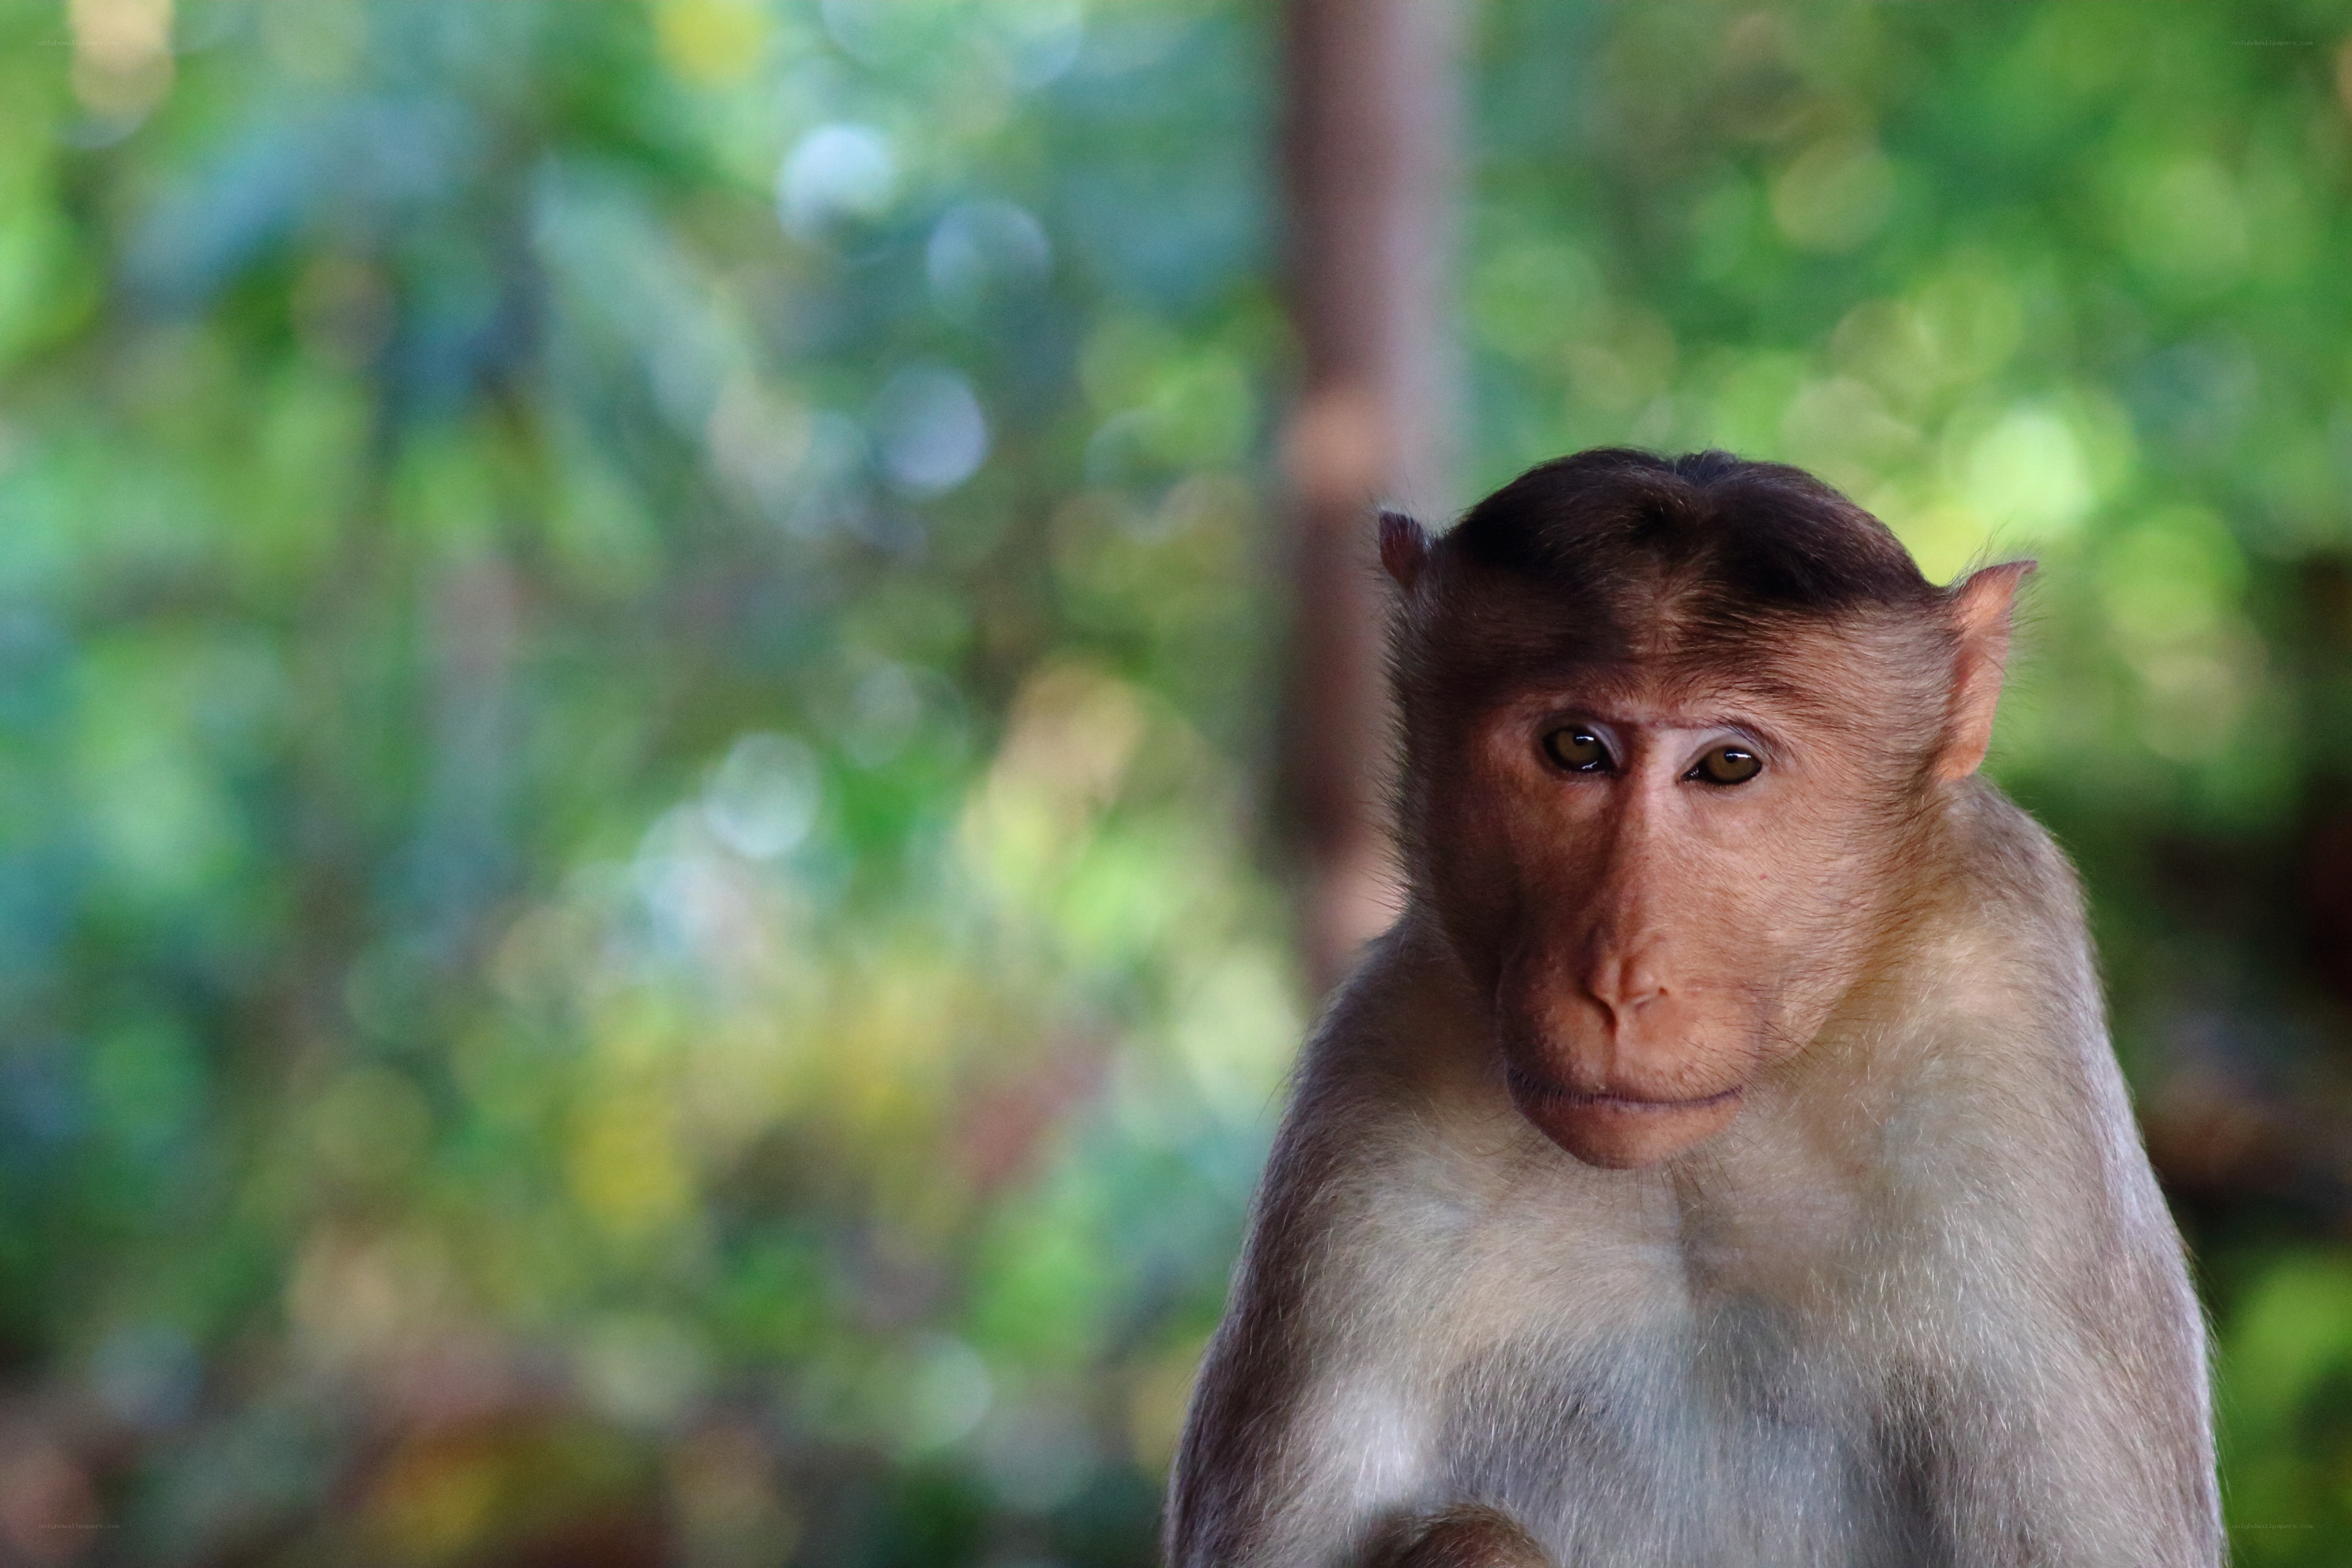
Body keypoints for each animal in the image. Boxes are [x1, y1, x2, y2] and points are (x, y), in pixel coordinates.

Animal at [1165, 450, 2218, 1568]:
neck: (1694, 1170)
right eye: (1576, 747)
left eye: (1727, 764)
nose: (1619, 977)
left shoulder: (2003, 1016)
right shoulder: (1375, 1084)